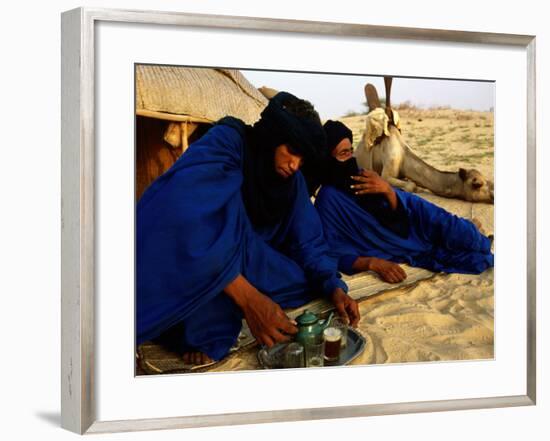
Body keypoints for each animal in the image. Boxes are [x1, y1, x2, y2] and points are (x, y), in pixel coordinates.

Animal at [356, 78, 498, 204]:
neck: (404, 157)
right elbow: (411, 185)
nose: (493, 196)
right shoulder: (387, 171)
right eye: (477, 184)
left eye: (487, 180)